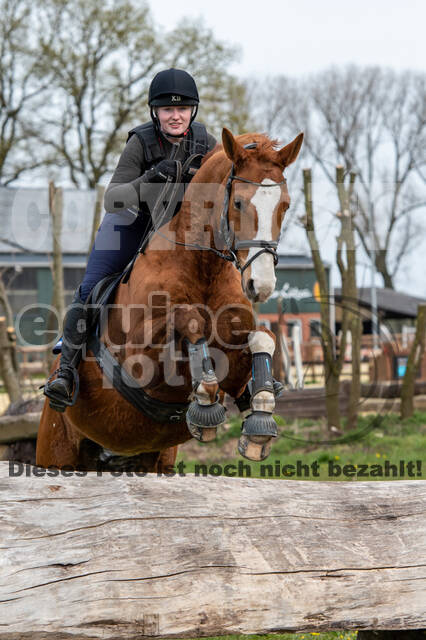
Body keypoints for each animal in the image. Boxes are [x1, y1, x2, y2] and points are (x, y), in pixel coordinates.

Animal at [36, 127, 302, 472]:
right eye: (239, 203)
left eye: (285, 205)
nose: (262, 285)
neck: (204, 268)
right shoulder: (140, 354)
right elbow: (190, 321)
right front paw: (205, 407)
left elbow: (263, 337)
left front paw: (259, 419)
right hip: (56, 454)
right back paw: (60, 384)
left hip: (155, 460)